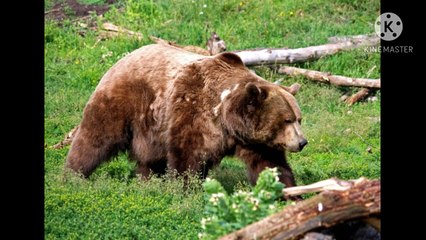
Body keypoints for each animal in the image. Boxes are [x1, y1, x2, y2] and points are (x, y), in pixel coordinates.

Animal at [65, 43, 306, 187]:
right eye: (287, 120)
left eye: (298, 119)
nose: (303, 142)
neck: (226, 118)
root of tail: (121, 58)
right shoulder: (194, 111)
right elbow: (188, 155)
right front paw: (184, 189)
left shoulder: (254, 140)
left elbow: (270, 164)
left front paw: (287, 192)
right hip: (124, 100)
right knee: (95, 137)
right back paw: (73, 174)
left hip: (151, 127)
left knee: (149, 158)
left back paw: (148, 180)